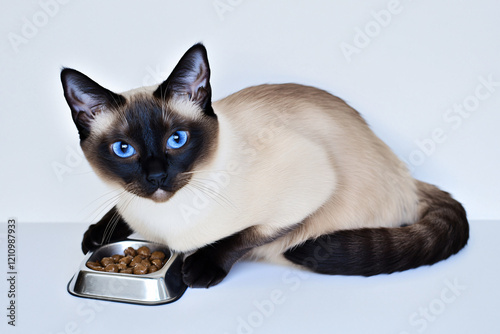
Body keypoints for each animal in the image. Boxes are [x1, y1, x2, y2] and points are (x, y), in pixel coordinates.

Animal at [59, 42, 468, 288]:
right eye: (123, 149)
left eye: (177, 140)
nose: (157, 176)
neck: (166, 224)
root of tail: (405, 172)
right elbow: (117, 212)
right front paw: (96, 236)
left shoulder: (308, 190)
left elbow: (243, 237)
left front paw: (200, 269)